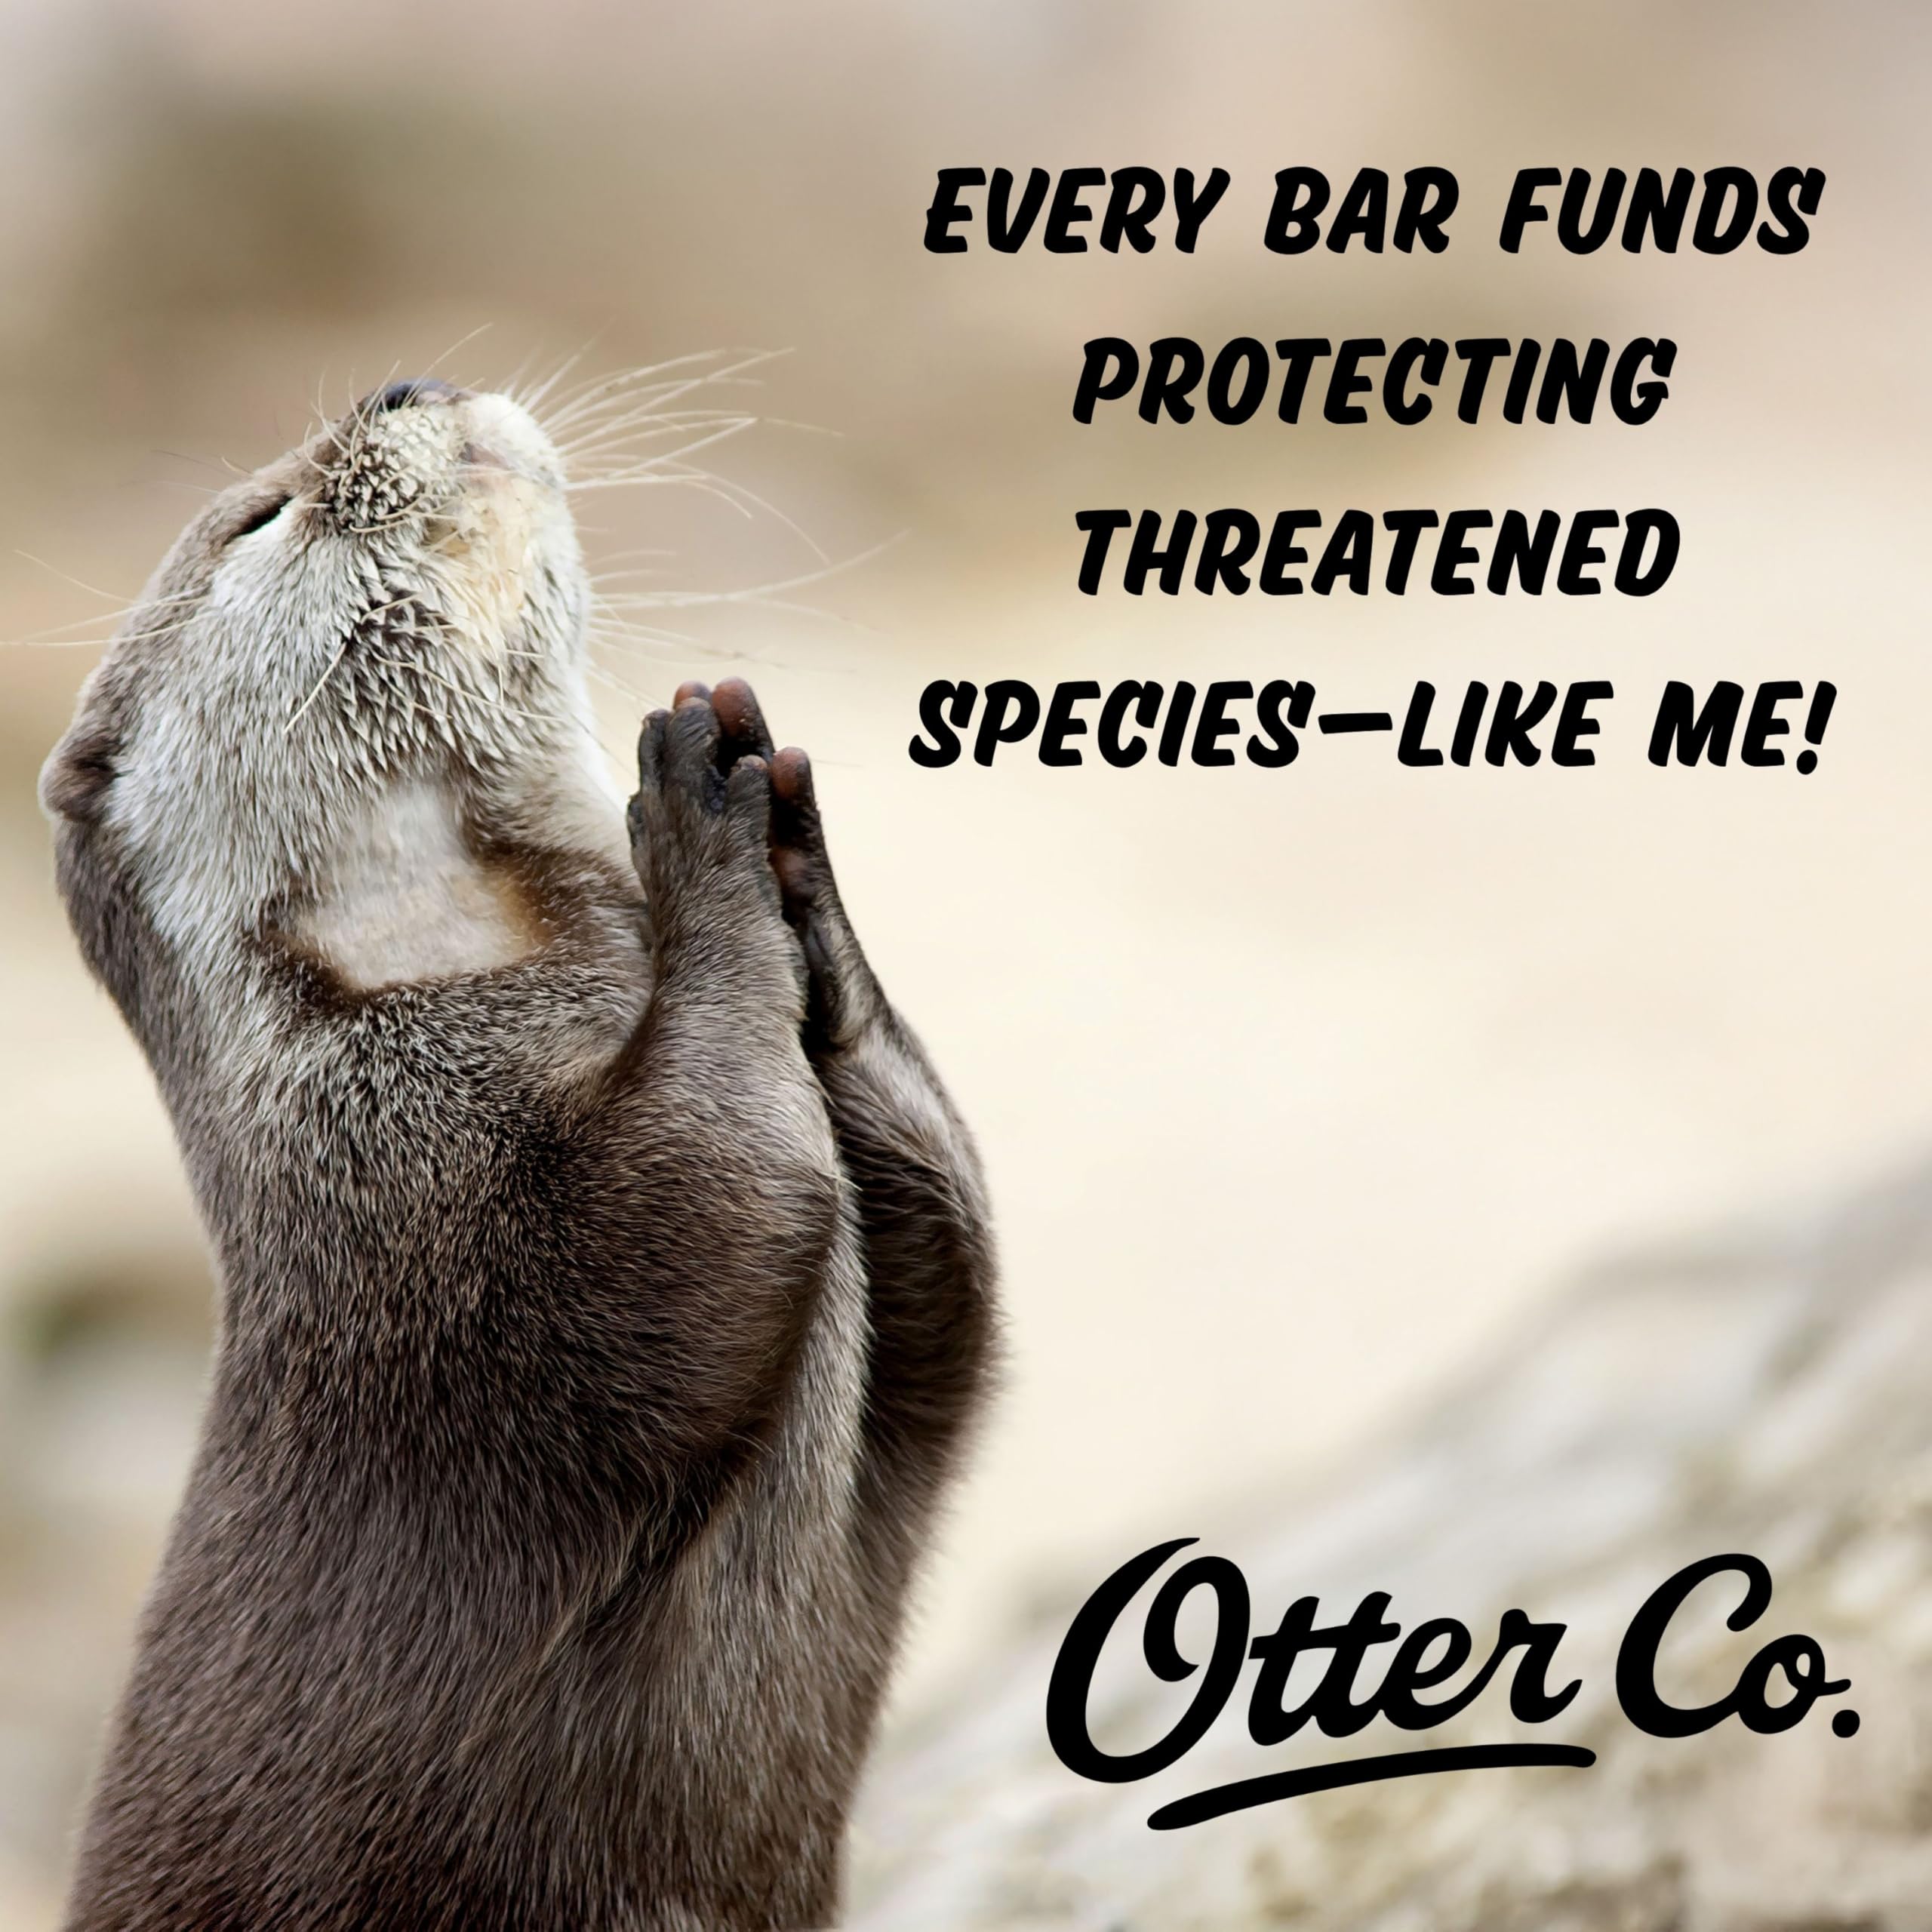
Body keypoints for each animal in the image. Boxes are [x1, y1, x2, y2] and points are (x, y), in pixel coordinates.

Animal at [39, 375, 996, 1931]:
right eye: (262, 517)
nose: (403, 385)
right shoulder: (433, 1215)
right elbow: (711, 1204)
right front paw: (696, 819)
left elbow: (953, 1280)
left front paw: (794, 857)